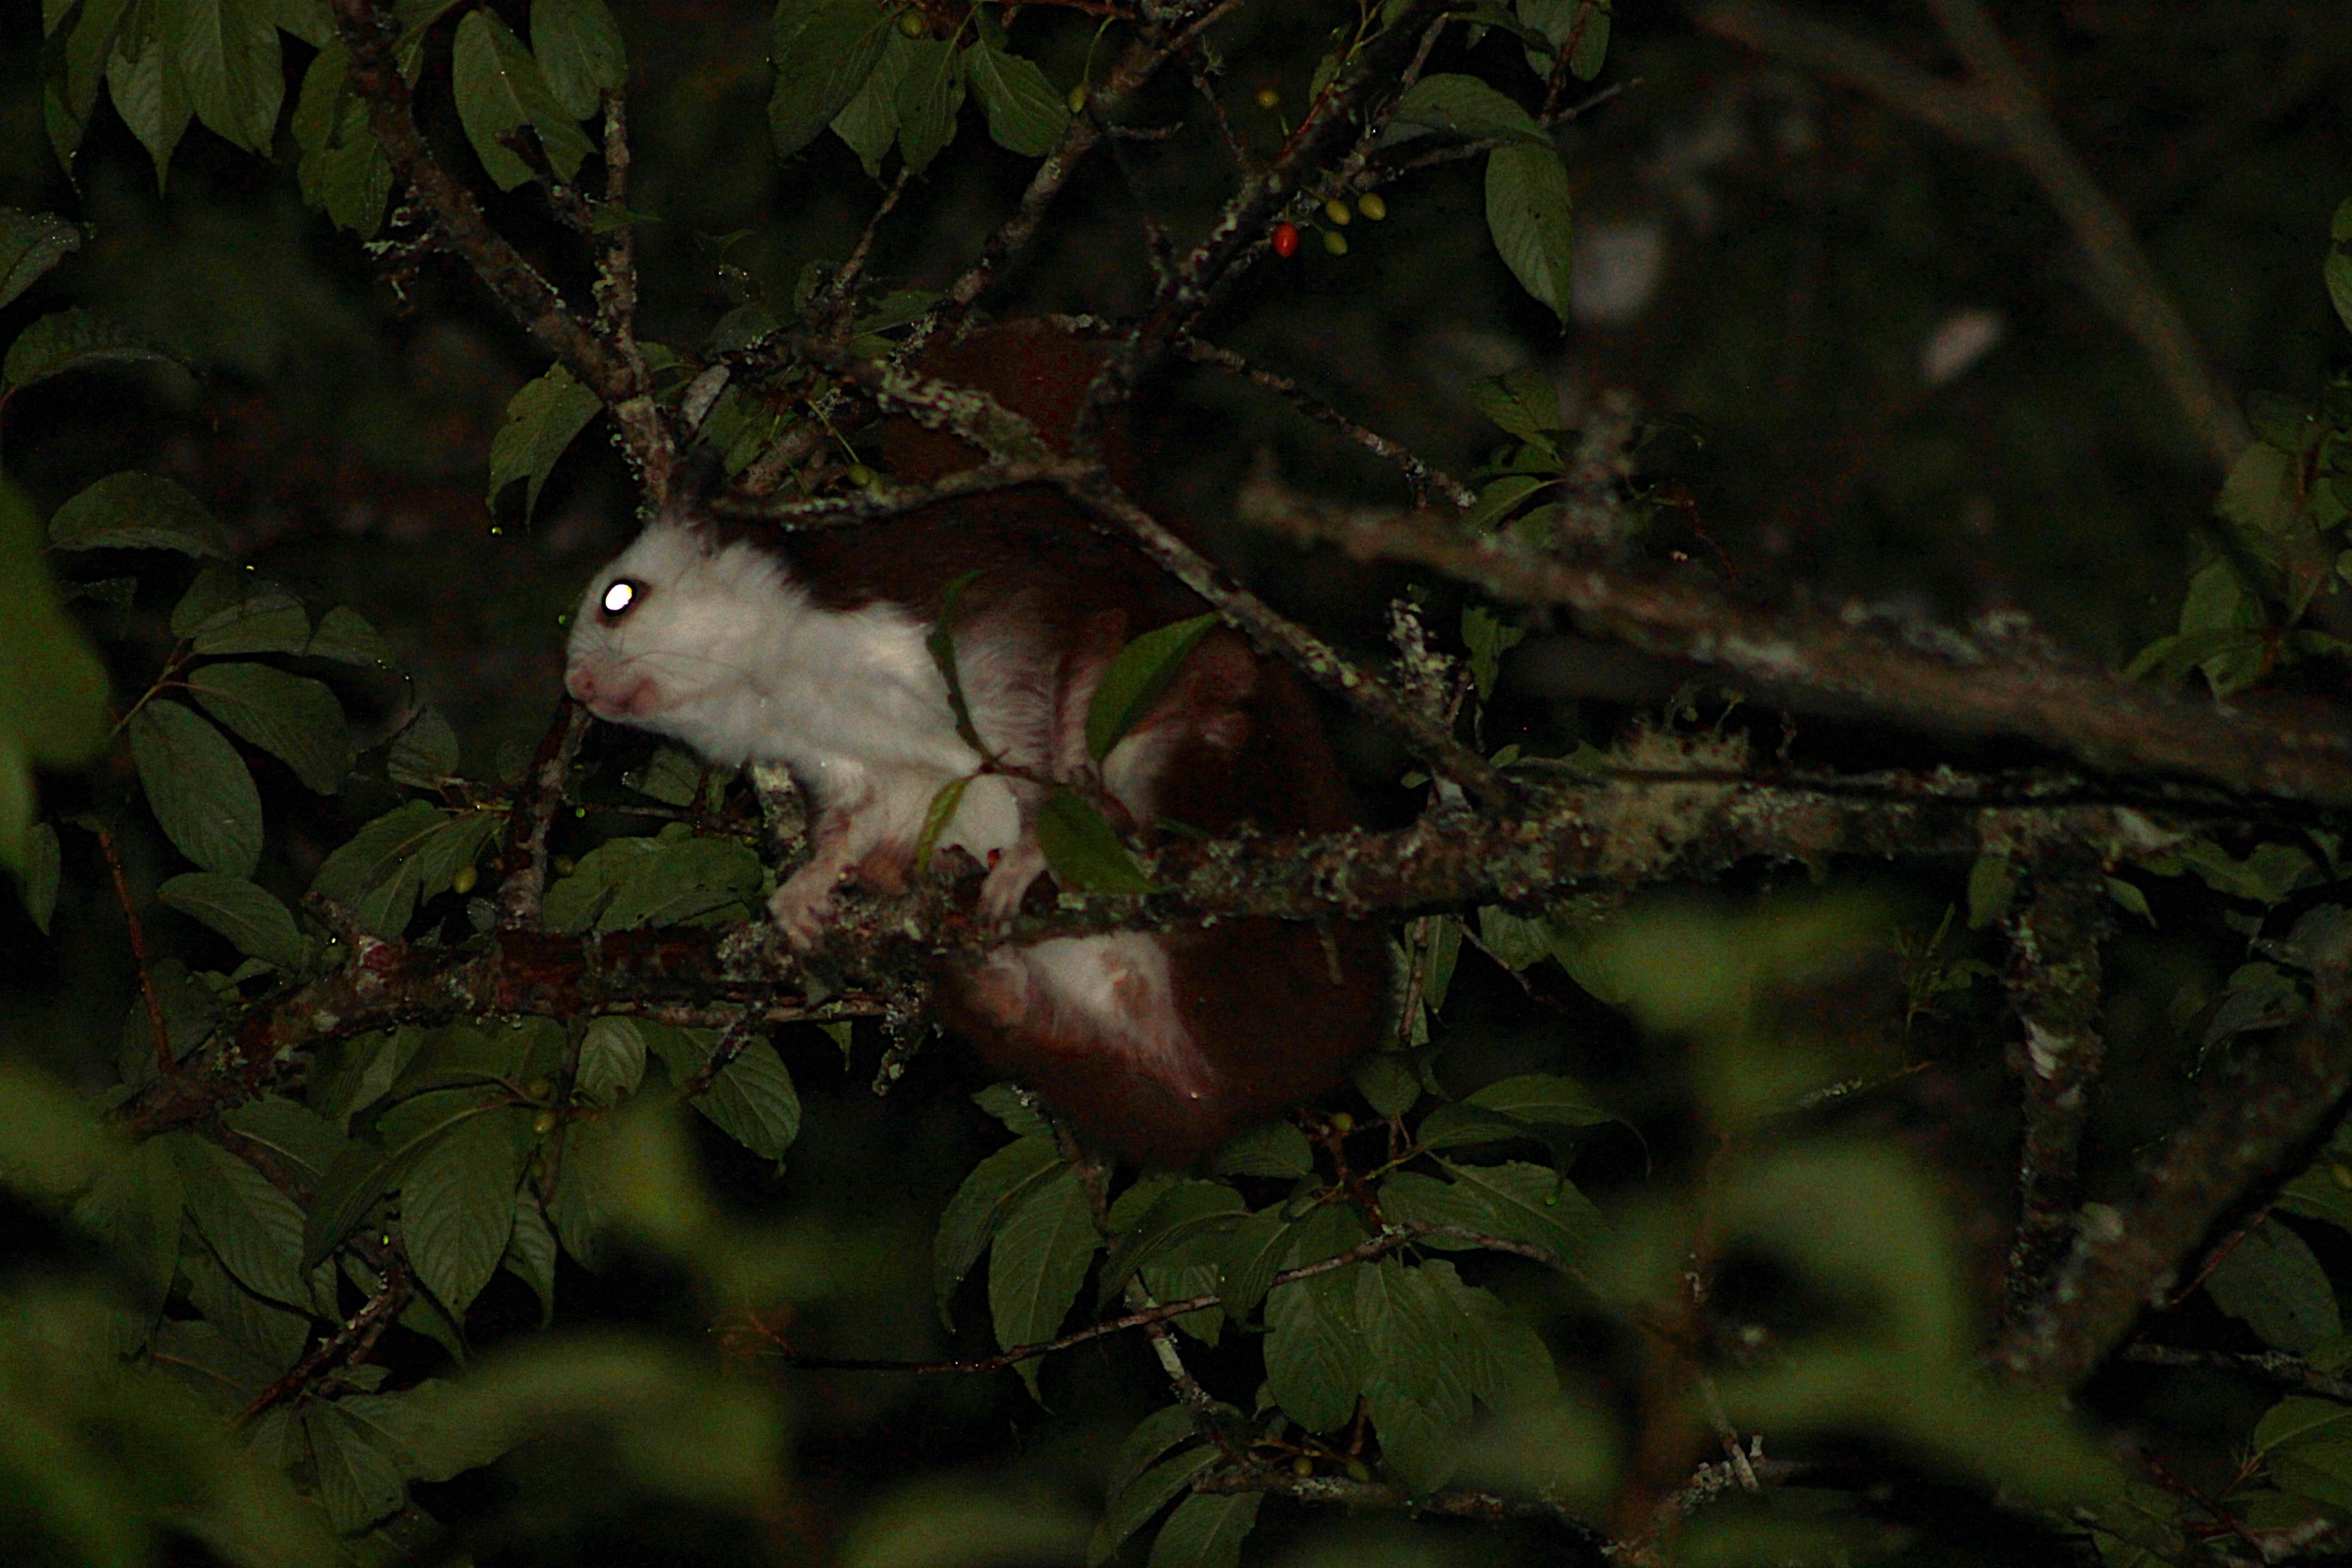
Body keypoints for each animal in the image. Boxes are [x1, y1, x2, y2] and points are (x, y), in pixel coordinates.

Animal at [564, 320, 1387, 1163]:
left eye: (620, 599)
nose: (577, 687)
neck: (789, 677)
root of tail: (1250, 1083)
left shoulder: (970, 616)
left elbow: (1037, 713)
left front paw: (1029, 849)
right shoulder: (853, 762)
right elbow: (857, 819)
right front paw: (810, 885)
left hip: (1214, 764)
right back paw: (972, 951)